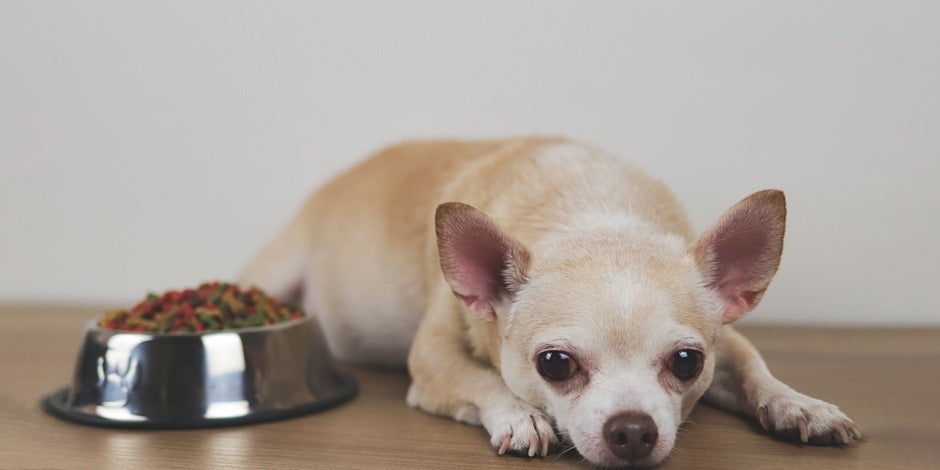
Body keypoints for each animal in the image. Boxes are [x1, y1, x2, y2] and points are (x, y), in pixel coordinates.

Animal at [241, 138, 860, 468]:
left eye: (688, 362)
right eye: (555, 365)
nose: (633, 430)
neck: (593, 214)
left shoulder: (727, 339)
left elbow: (756, 369)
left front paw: (799, 405)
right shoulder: (433, 362)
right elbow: (482, 378)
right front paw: (521, 415)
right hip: (273, 270)